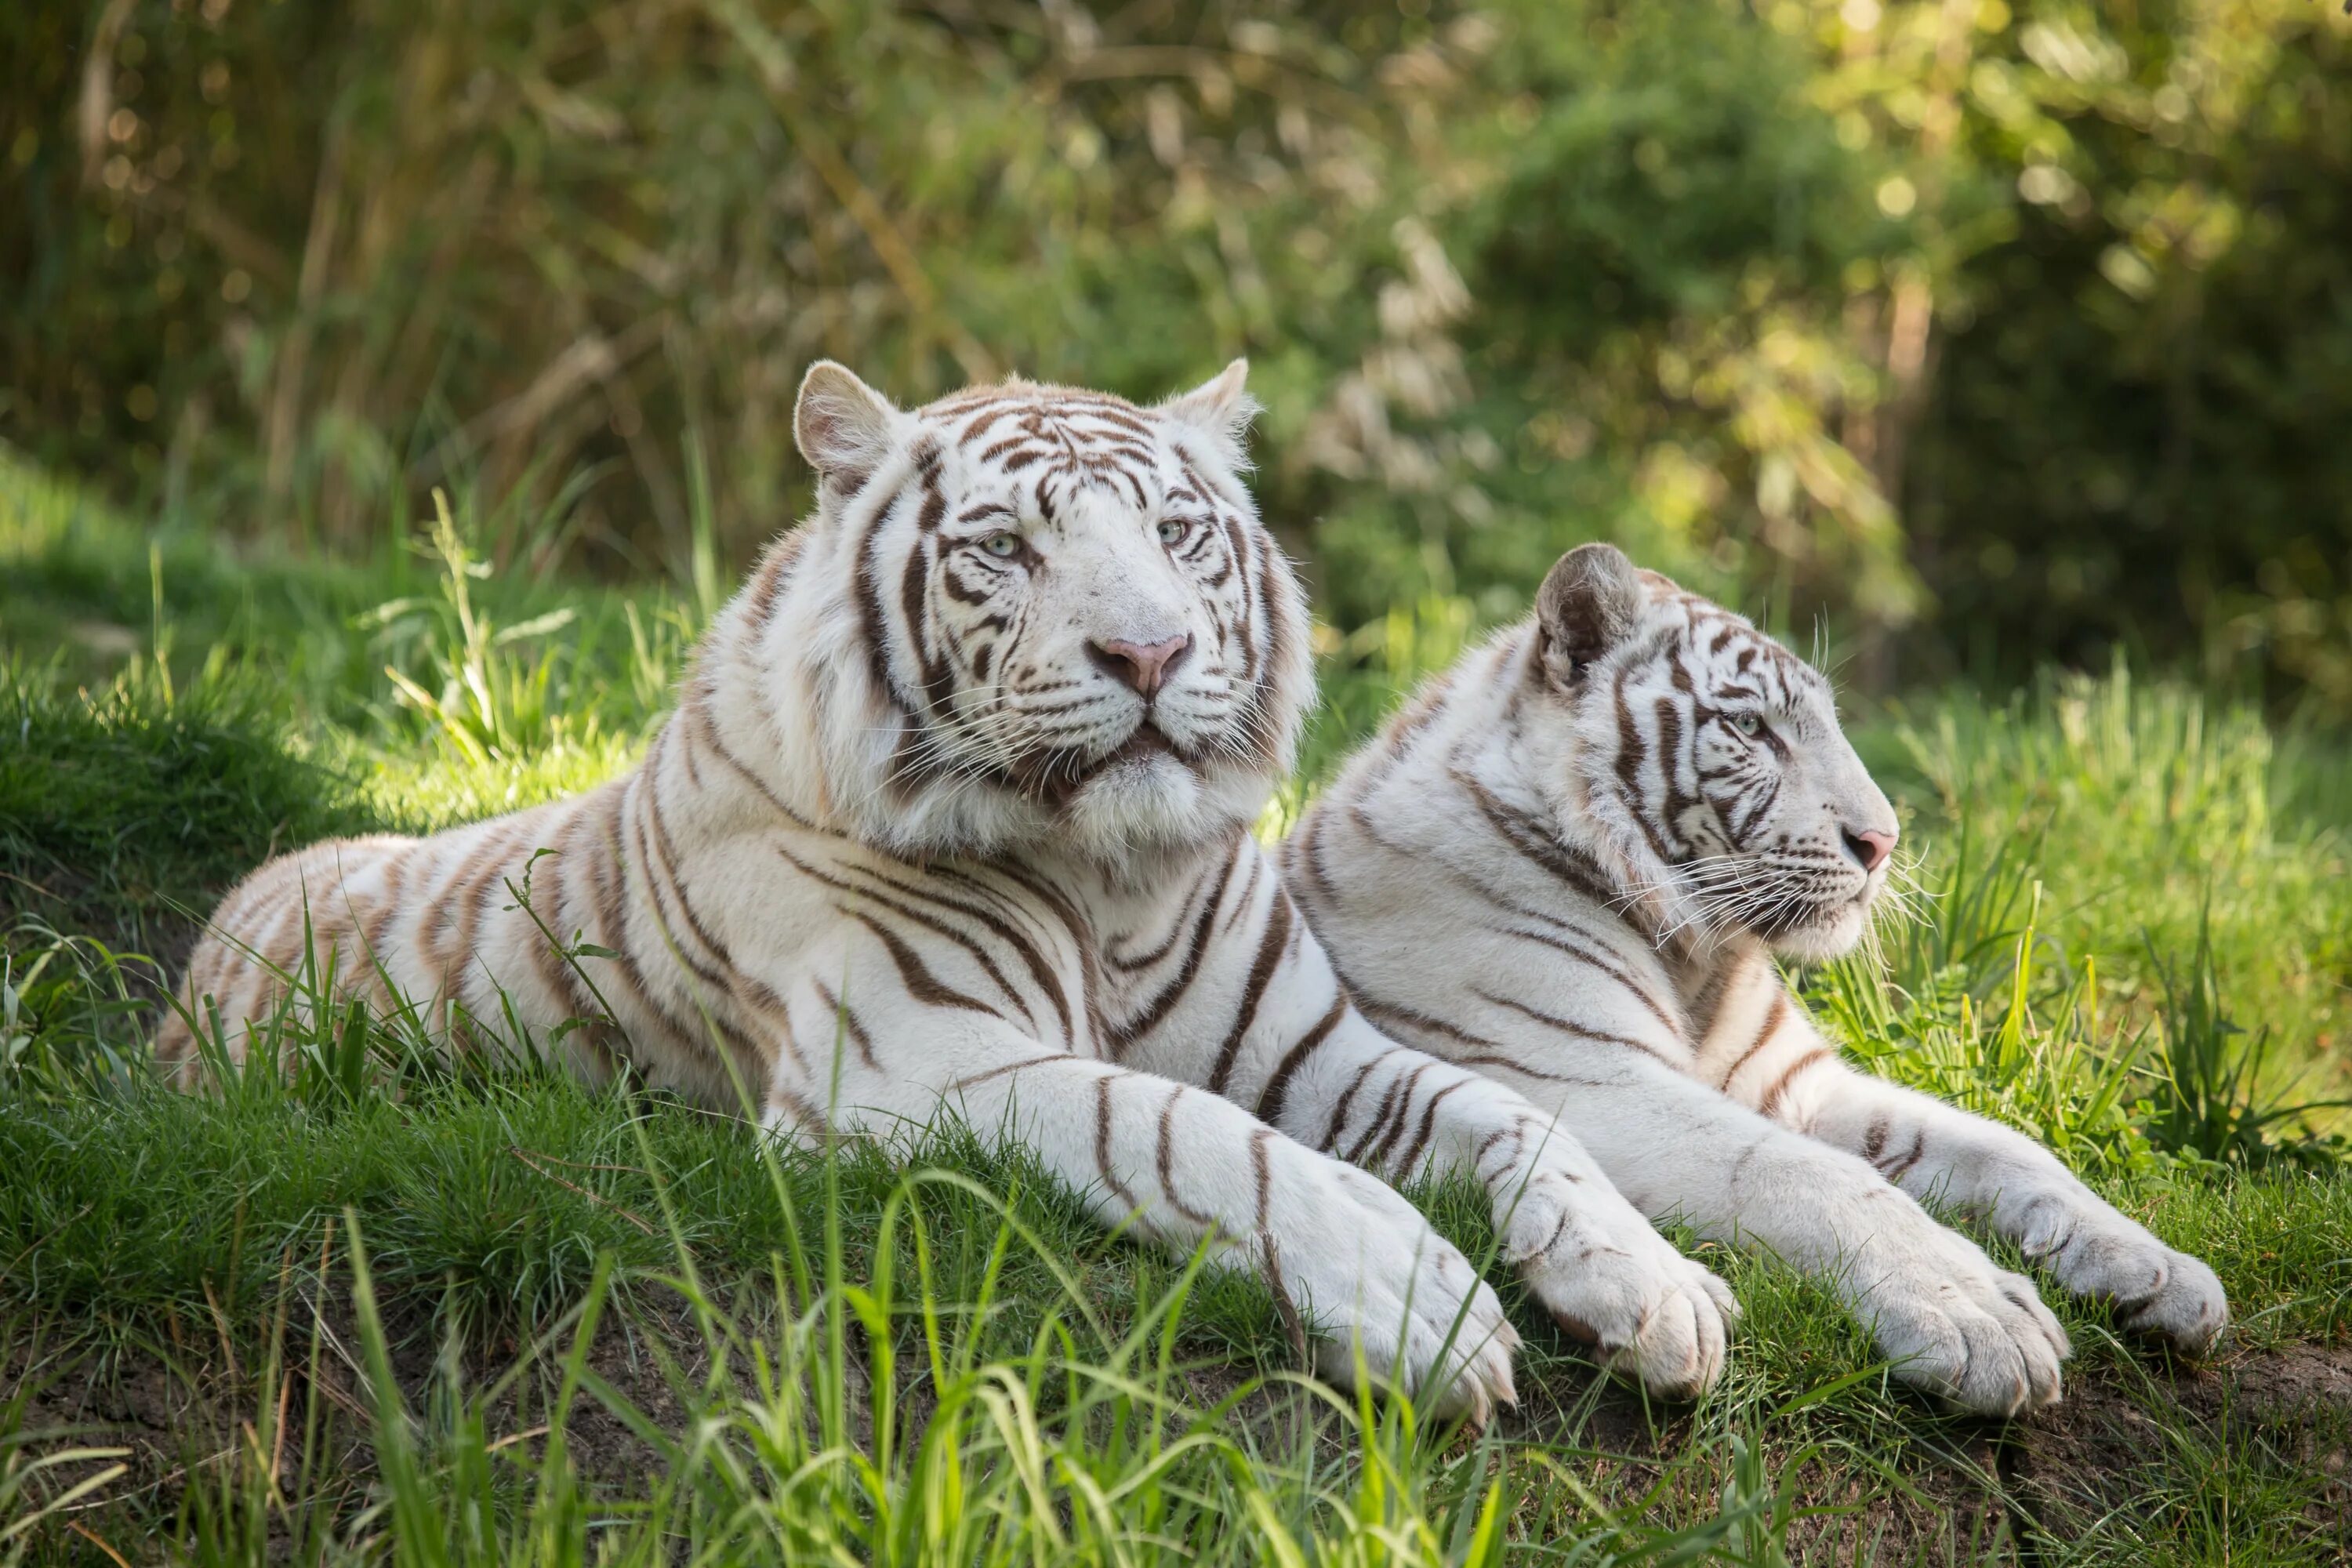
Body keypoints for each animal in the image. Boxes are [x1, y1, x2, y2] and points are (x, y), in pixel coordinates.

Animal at [165, 371, 1740, 1420]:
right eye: (1006, 548)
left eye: (1178, 535)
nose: (1150, 654)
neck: (1113, 878)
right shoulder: (912, 1065)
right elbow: (1183, 1132)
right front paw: (1428, 1309)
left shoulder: (1318, 1053)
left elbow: (1516, 1117)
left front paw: (1658, 1288)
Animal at [1289, 545, 2220, 1420]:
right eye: (1750, 728)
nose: (1883, 841)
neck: (1697, 957)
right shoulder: (1584, 1075)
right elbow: (1822, 1178)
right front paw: (1980, 1315)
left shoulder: (1795, 1084)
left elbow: (2004, 1146)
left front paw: (2160, 1269)